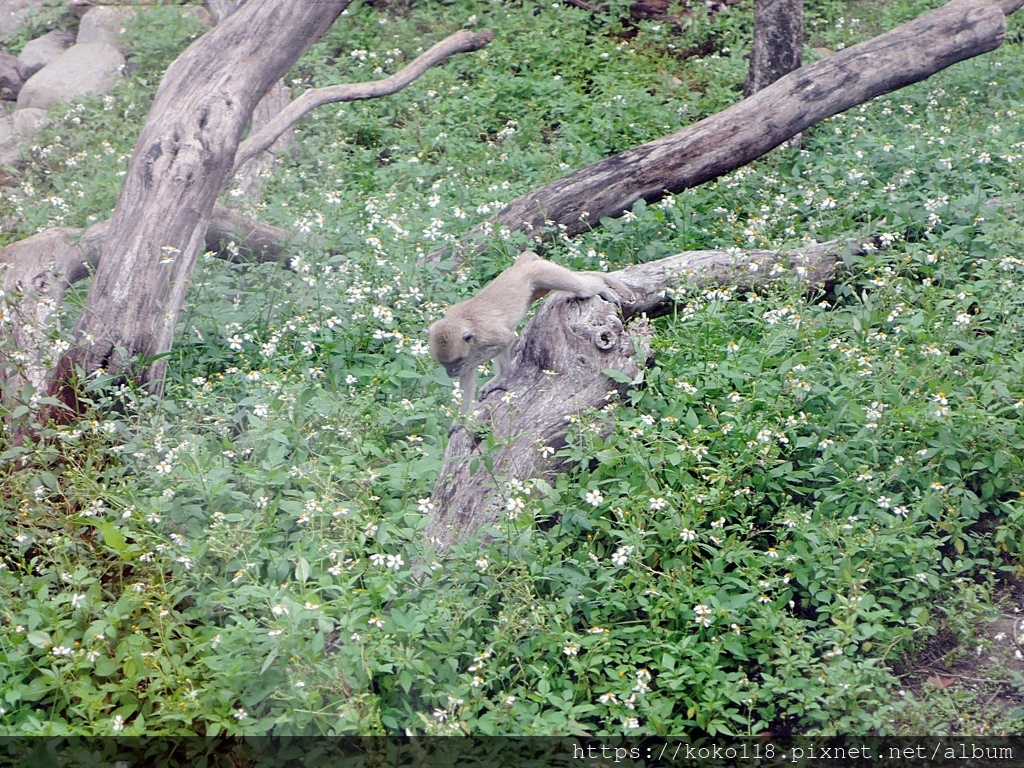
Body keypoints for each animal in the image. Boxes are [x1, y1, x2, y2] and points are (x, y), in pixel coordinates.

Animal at [425, 250, 630, 409]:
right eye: (445, 364)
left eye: (454, 362)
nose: (450, 372)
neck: (465, 321)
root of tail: (523, 264)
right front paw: (463, 417)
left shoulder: (487, 335)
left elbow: (505, 340)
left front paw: (496, 375)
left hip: (542, 272)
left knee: (581, 288)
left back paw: (599, 285)